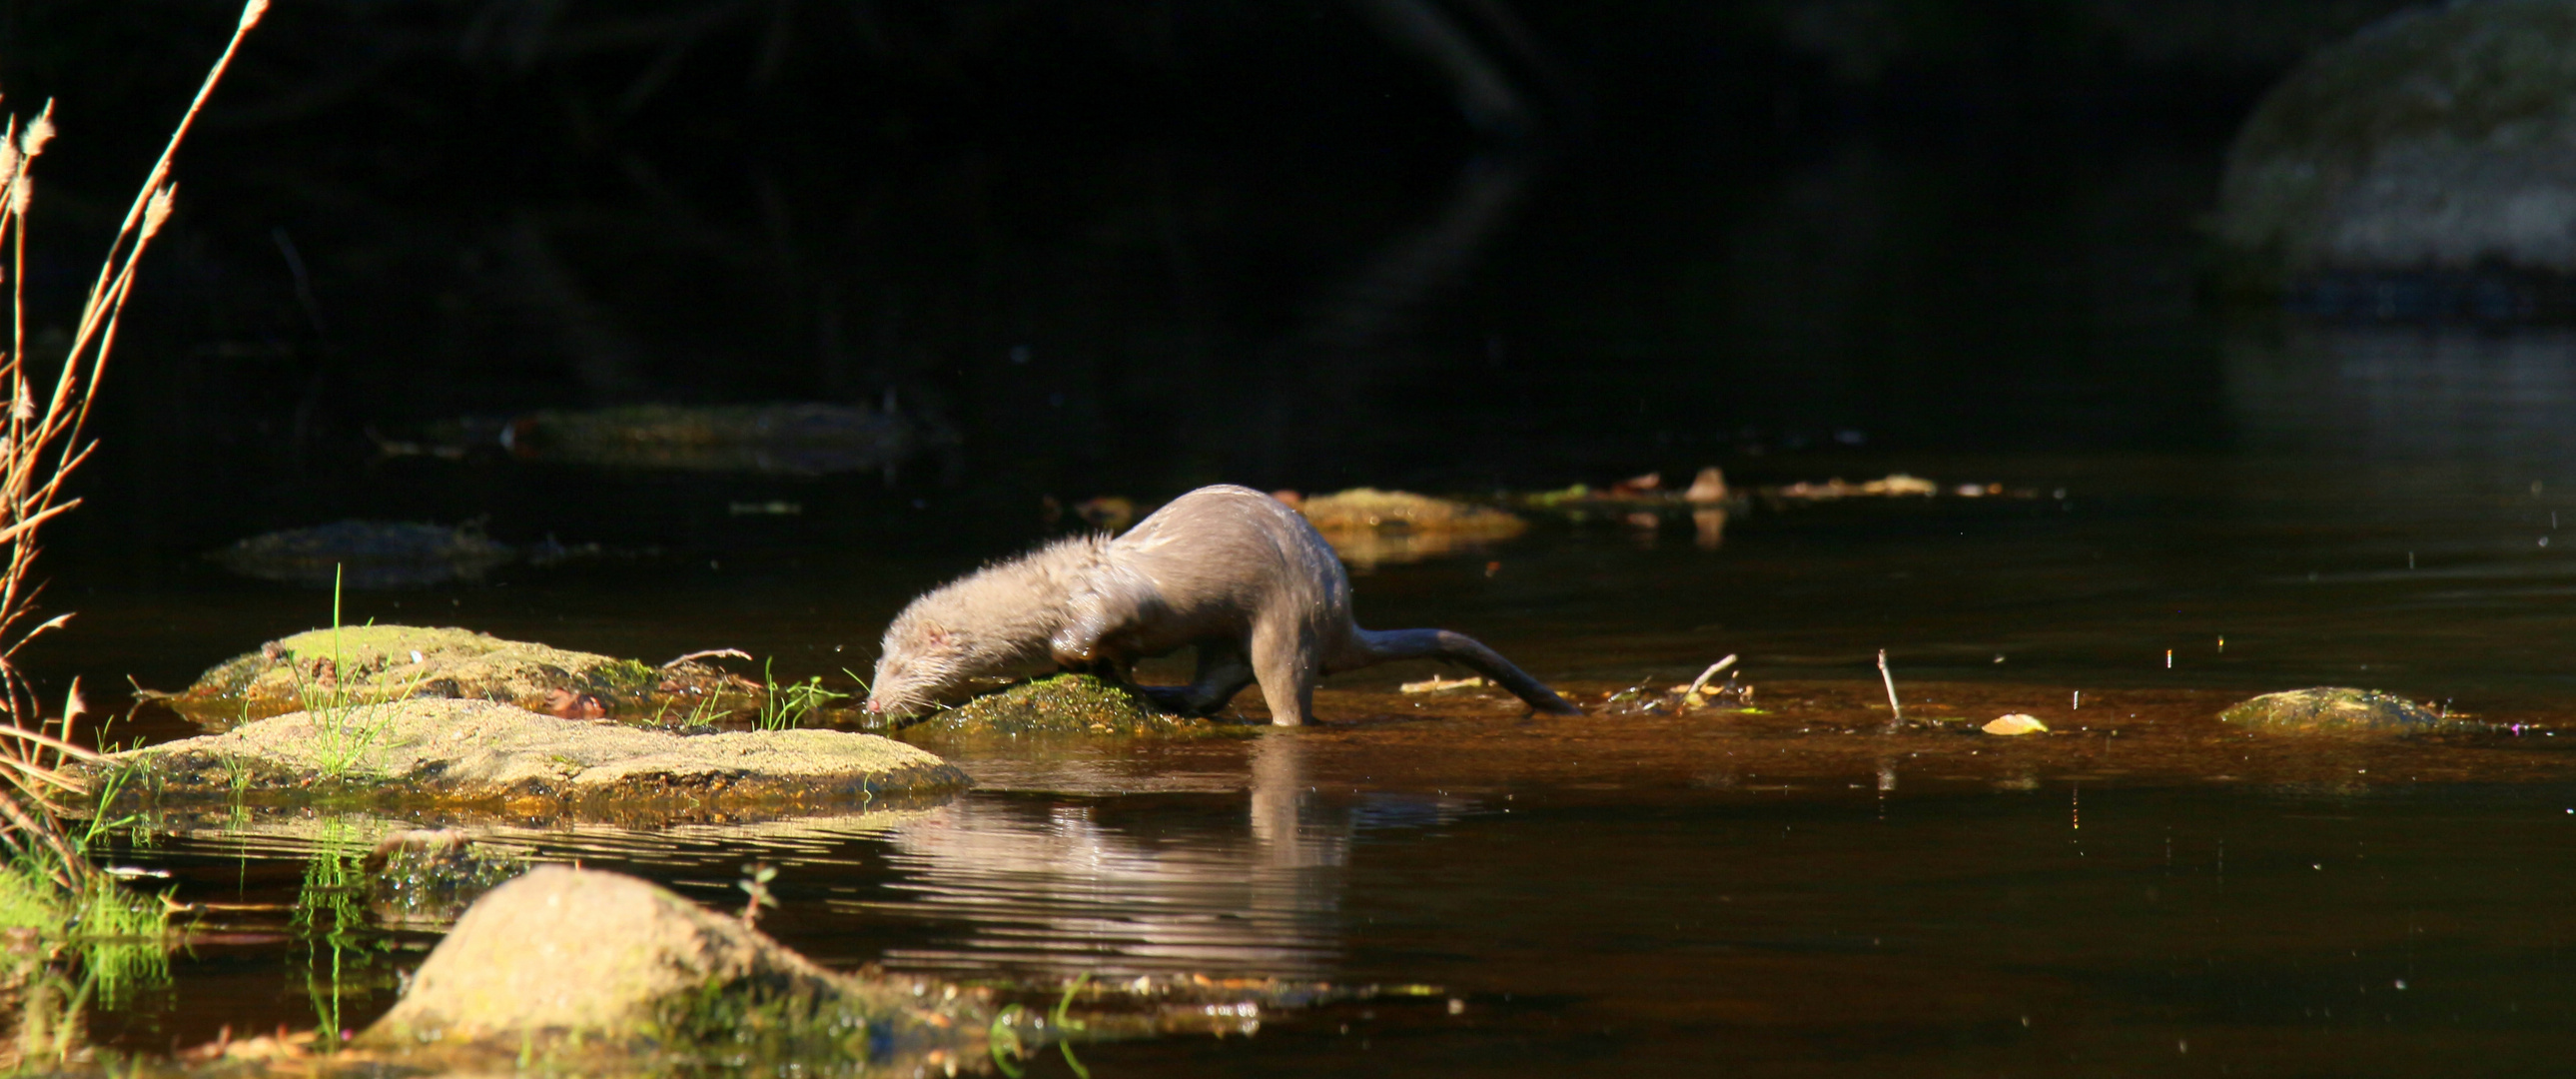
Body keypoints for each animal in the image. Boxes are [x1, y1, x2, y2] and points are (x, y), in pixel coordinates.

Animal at [865, 487, 1576, 725]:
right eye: (875, 665)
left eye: (897, 667)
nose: (870, 705)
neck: (1056, 584)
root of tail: (1341, 617)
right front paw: (1120, 674)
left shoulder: (1109, 596)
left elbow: (1092, 632)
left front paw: (1082, 657)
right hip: (1232, 634)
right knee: (1216, 682)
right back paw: (1171, 695)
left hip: (1285, 624)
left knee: (1281, 692)